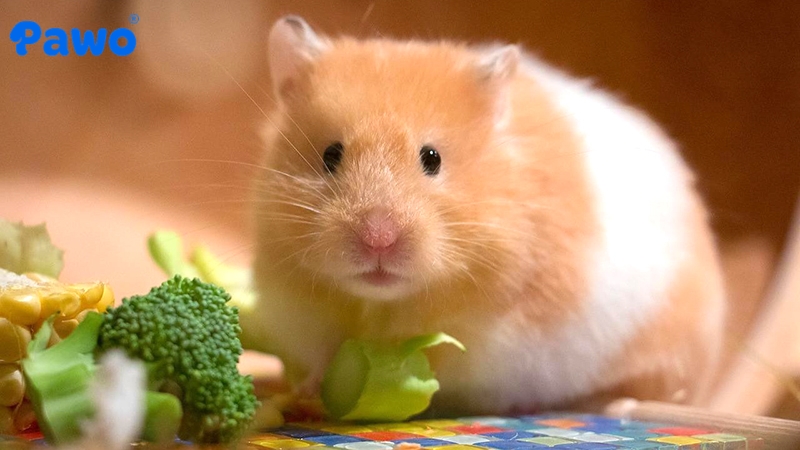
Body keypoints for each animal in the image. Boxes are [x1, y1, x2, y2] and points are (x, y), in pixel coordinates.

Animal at [243, 15, 726, 415]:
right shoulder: (302, 312)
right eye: (330, 155)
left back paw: (613, 404)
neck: (382, 304)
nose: (378, 239)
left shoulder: (501, 339)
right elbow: (323, 354)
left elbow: (447, 355)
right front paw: (311, 389)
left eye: (432, 158)